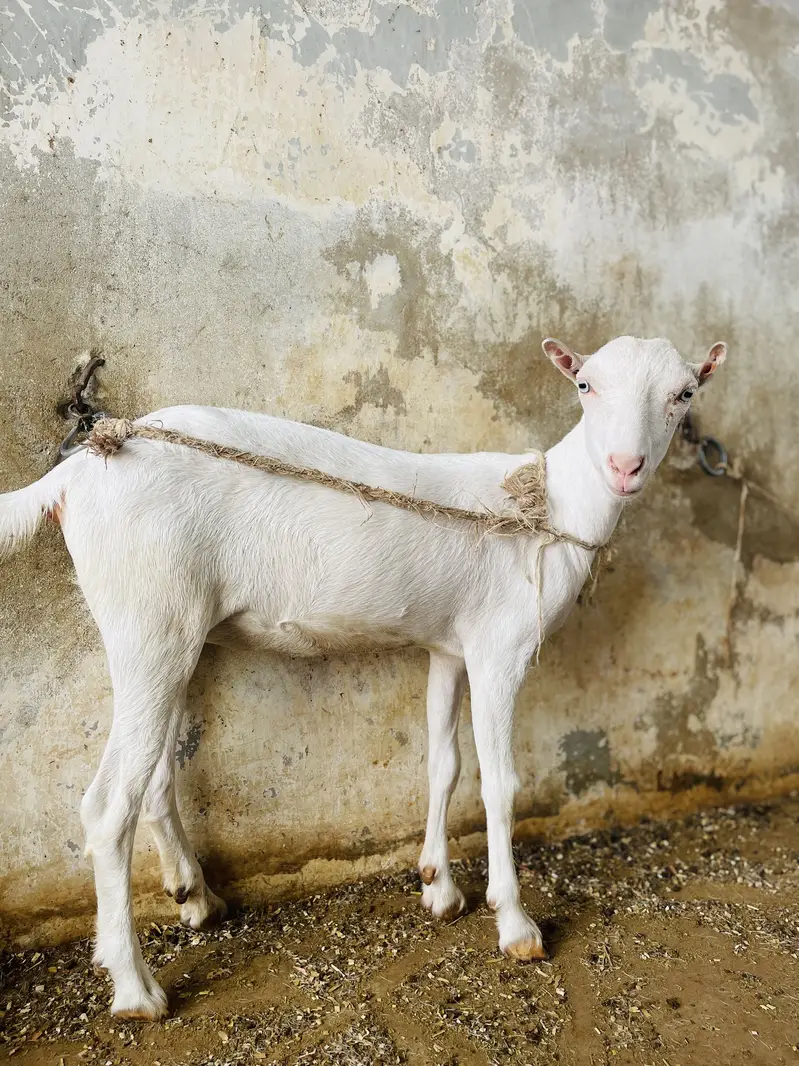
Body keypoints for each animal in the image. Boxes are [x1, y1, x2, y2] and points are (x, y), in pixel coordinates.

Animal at [0, 335, 726, 1018]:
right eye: (584, 384)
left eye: (684, 392)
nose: (625, 467)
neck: (547, 508)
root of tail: (75, 474)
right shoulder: (501, 647)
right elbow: (500, 784)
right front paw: (515, 924)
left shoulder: (451, 647)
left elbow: (443, 763)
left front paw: (439, 885)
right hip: (146, 614)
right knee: (107, 806)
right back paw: (134, 987)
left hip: (173, 633)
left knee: (152, 779)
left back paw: (195, 896)